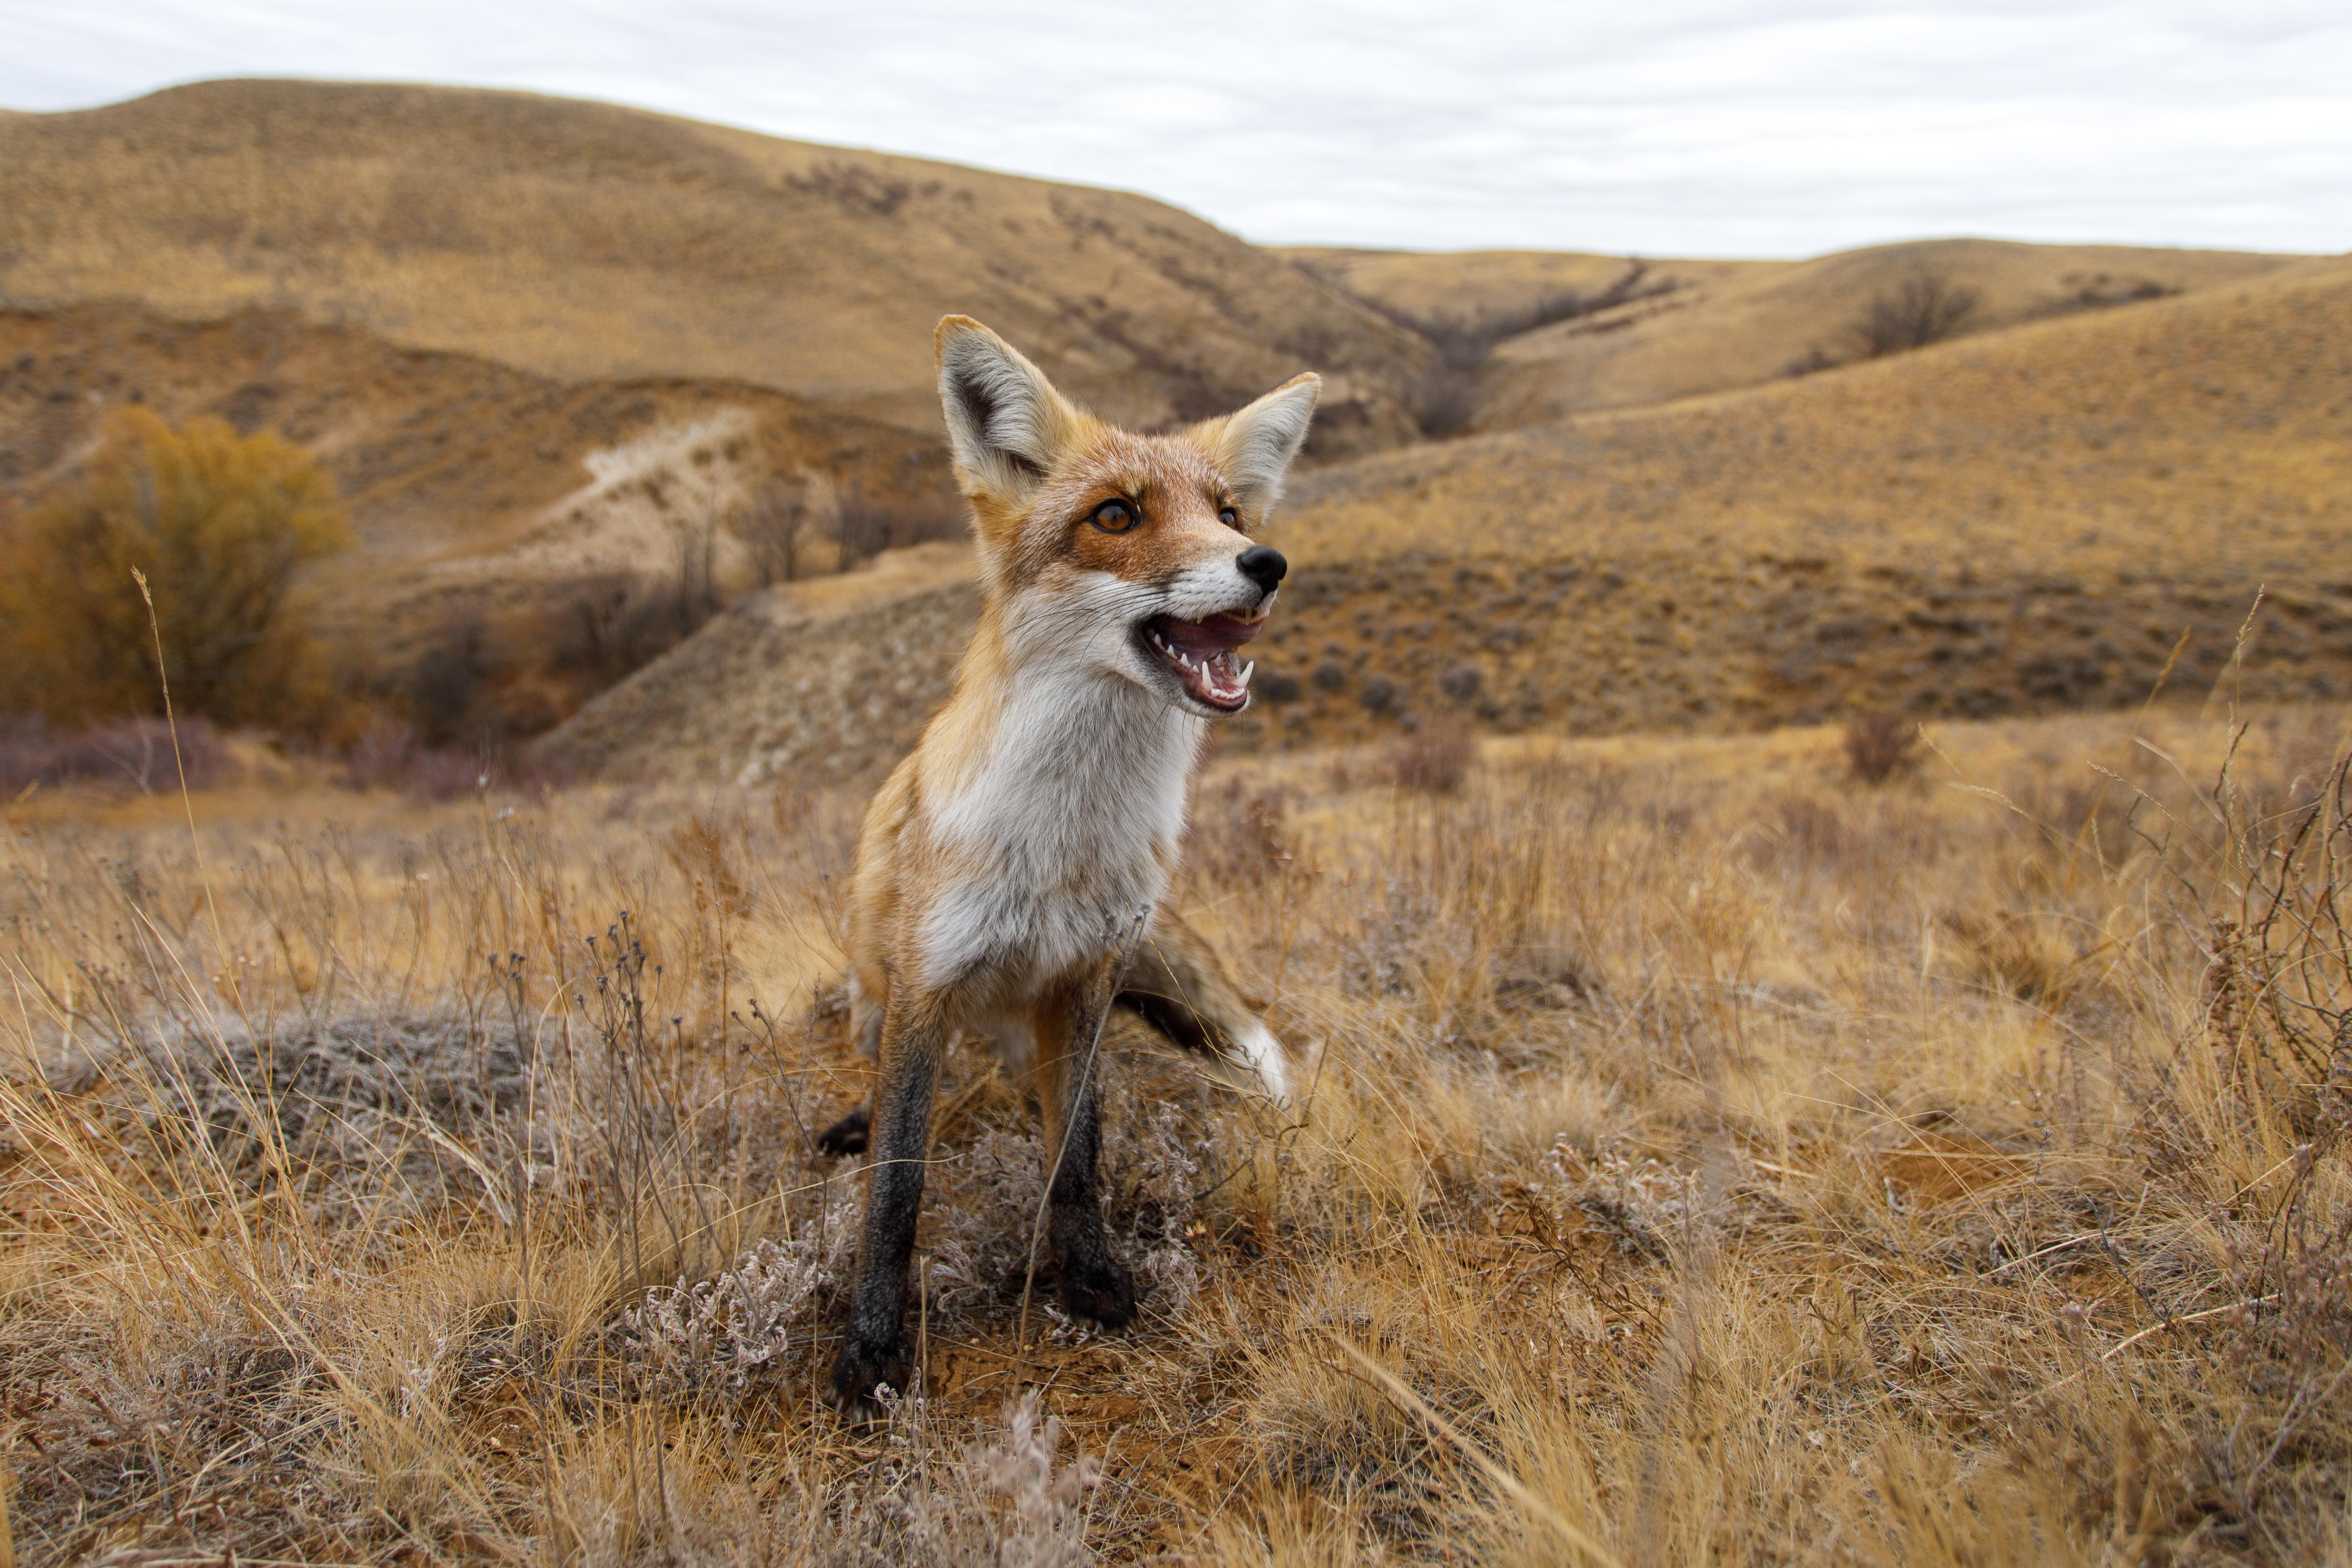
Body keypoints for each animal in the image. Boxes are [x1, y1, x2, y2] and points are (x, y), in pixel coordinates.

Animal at [818, 315, 1317, 1410]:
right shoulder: (927, 984)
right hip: (878, 984)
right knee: (873, 1072)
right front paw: (873, 1344)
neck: (1066, 843)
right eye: (1116, 515)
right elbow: (898, 1180)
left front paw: (1087, 1275)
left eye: (1226, 512)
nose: (1265, 561)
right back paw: (852, 1118)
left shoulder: (1089, 976)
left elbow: (1079, 1151)